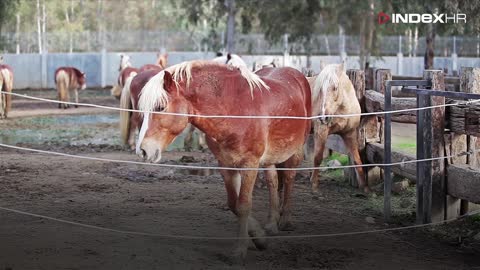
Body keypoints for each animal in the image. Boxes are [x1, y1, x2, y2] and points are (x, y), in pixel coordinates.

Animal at [133, 61, 312, 260]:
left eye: (160, 107)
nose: (143, 150)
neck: (234, 111)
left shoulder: (250, 164)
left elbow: (243, 205)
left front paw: (239, 251)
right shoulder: (226, 165)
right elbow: (233, 204)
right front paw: (260, 238)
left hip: (295, 150)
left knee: (289, 178)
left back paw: (286, 220)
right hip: (271, 157)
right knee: (273, 181)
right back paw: (272, 224)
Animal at [306, 63, 370, 193]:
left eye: (335, 87)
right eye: (320, 89)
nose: (323, 116)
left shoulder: (350, 134)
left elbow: (357, 159)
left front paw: (365, 188)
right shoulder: (321, 132)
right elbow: (317, 157)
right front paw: (314, 185)